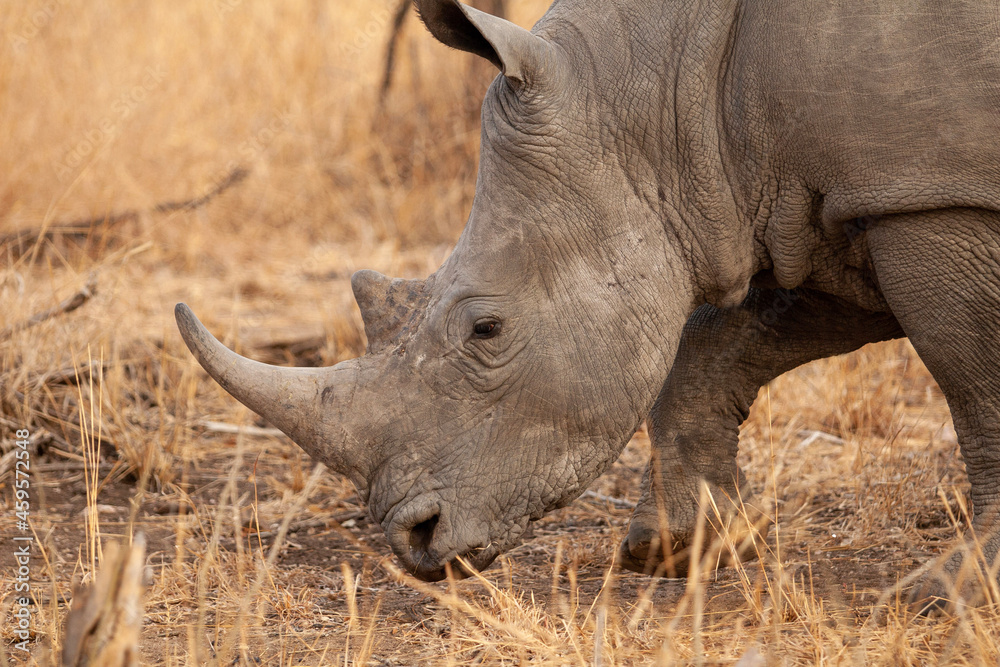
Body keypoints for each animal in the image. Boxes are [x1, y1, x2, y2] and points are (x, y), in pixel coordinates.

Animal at [177, 0, 1000, 609]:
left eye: (486, 329)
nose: (415, 541)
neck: (665, 86)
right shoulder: (847, 199)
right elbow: (717, 342)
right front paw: (678, 548)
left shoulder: (928, 195)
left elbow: (976, 388)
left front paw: (955, 591)